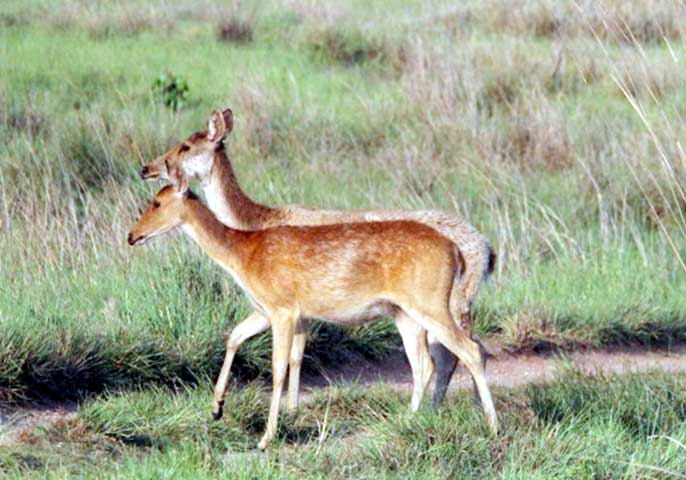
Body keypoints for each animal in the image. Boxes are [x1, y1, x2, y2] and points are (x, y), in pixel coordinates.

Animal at [127, 181, 500, 450]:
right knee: (424, 364)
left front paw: (266, 438)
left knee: (470, 351)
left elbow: (278, 367)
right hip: (405, 315)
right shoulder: (265, 311)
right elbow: (233, 336)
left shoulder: (284, 311)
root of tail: (456, 251)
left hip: (432, 306)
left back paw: (493, 426)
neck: (243, 253)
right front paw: (216, 408)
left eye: (157, 202)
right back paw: (412, 421)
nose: (132, 235)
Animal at [142, 109, 498, 416]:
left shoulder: (293, 307)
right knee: (461, 352)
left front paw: (289, 409)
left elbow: (294, 356)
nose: (147, 168)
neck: (257, 221)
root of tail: (485, 249)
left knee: (458, 353)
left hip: (448, 305)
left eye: (186, 145)